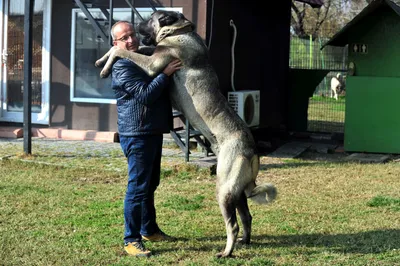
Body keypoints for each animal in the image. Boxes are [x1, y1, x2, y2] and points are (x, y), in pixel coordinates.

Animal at [96, 10, 278, 258]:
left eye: (149, 19)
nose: (136, 24)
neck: (179, 32)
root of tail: (251, 150)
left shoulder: (153, 65)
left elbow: (122, 51)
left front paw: (106, 67)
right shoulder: (151, 54)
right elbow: (130, 49)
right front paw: (101, 61)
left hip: (224, 189)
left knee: (232, 224)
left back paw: (226, 252)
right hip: (237, 190)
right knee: (246, 216)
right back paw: (244, 242)